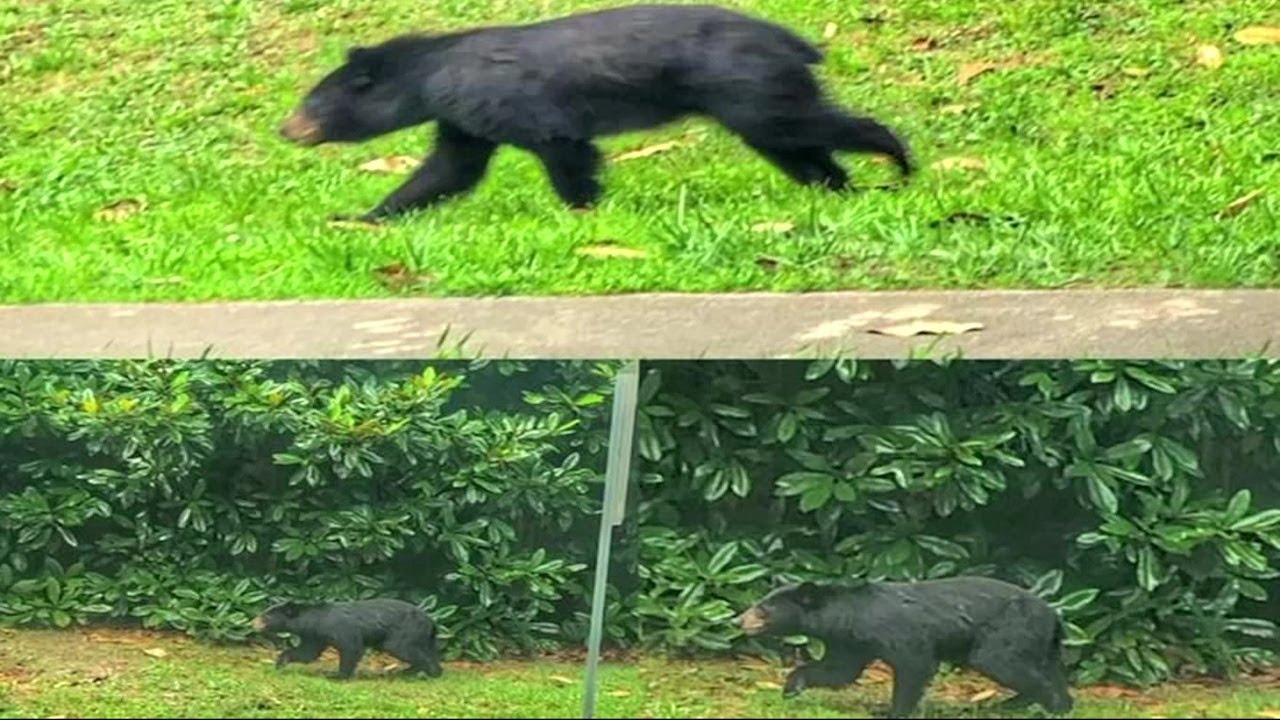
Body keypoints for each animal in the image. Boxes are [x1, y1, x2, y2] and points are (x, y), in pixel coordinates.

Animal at [252, 598, 443, 680]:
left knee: (401, 648)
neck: (315, 622)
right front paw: (280, 662)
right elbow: (308, 653)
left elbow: (352, 647)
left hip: (404, 632)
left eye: (266, 617)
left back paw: (426, 673)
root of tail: (432, 622)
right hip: (424, 638)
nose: (252, 622)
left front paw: (337, 675)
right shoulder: (315, 636)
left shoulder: (339, 629)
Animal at [278, 3, 913, 224]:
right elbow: (450, 168)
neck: (434, 78)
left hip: (742, 85)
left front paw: (582, 210)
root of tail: (796, 41)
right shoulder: (461, 116)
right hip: (751, 95)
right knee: (794, 145)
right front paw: (362, 216)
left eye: (311, 101)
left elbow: (562, 146)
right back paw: (835, 187)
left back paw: (898, 161)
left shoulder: (499, 98)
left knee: (801, 126)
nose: (284, 128)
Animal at [737, 577, 1074, 718]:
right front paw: (791, 688)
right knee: (1047, 670)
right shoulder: (848, 641)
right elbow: (839, 670)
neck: (850, 618)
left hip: (1008, 631)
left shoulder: (896, 632)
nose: (738, 619)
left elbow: (914, 665)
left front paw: (893, 711)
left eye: (764, 608)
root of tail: (1055, 616)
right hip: (1039, 643)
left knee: (1000, 662)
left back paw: (1051, 707)